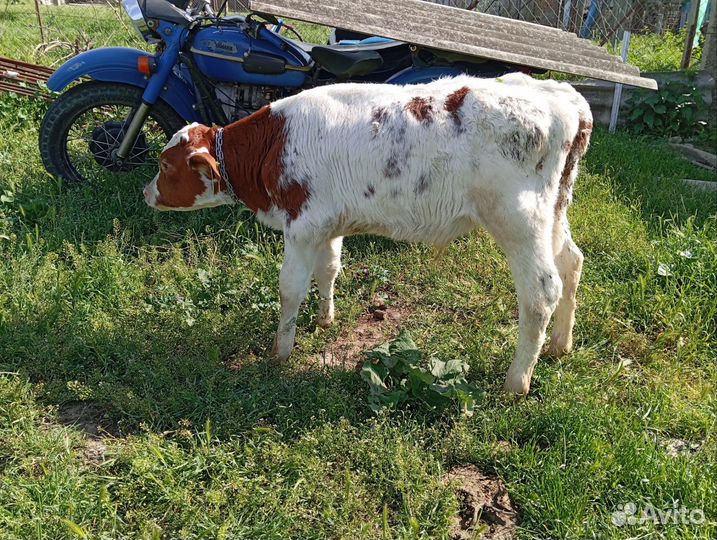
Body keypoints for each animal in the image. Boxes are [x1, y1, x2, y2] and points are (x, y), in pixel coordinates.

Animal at [144, 73, 592, 395]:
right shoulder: (326, 224)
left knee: (541, 291)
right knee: (572, 262)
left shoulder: (300, 226)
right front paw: (325, 319)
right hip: (555, 211)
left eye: (165, 165)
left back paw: (517, 381)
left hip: (518, 220)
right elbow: (329, 270)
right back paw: (560, 343)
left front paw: (280, 353)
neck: (274, 143)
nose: (147, 192)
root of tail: (562, 96)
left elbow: (290, 288)